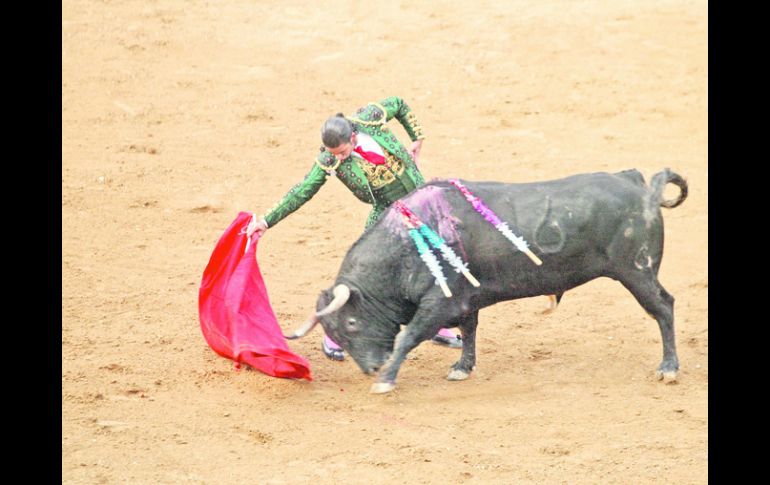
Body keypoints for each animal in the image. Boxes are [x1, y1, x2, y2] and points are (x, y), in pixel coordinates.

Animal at [292, 168, 688, 392]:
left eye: (352, 323)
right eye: (337, 333)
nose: (373, 367)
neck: (405, 244)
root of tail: (640, 186)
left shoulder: (440, 302)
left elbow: (409, 336)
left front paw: (387, 381)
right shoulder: (466, 299)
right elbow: (469, 331)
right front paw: (461, 369)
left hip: (636, 271)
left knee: (663, 307)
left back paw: (669, 368)